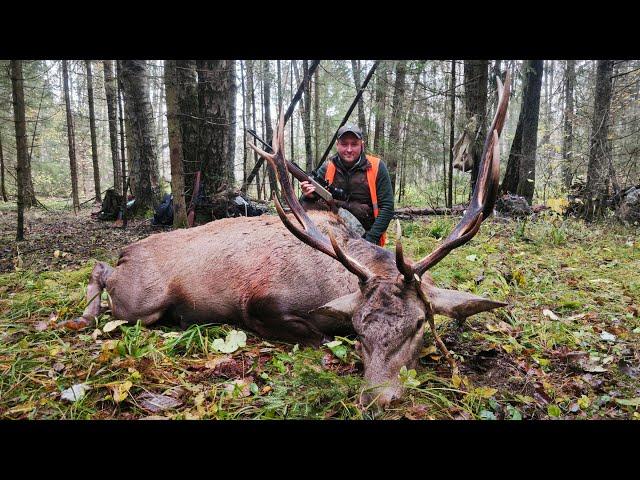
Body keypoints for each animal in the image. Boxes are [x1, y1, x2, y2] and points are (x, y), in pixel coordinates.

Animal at [60, 76, 510, 408]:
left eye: (419, 324)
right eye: (359, 326)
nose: (377, 398)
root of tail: (128, 249)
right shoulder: (261, 302)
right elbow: (318, 336)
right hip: (141, 301)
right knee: (101, 271)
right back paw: (79, 317)